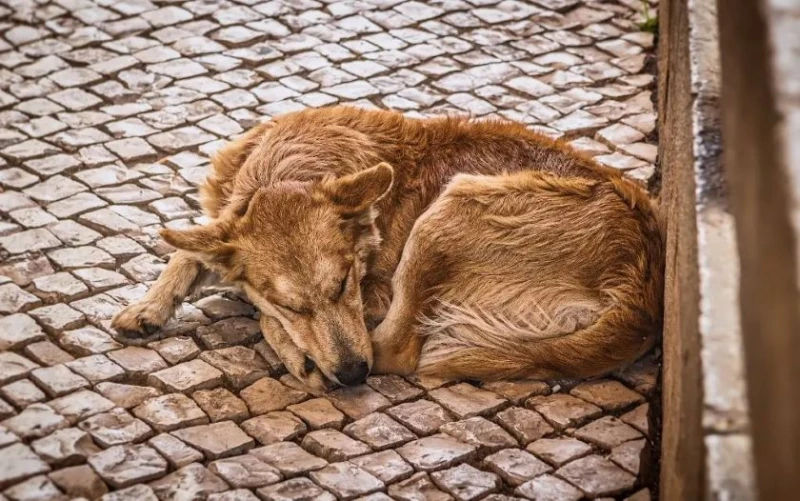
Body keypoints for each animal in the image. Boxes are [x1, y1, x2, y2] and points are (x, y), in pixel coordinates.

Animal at [112, 104, 664, 386]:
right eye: (295, 304)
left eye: (344, 285)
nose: (353, 375)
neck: (289, 166)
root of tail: (642, 296)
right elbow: (188, 248)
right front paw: (148, 307)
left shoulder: (375, 293)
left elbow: (256, 307)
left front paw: (290, 344)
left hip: (448, 212)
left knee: (397, 351)